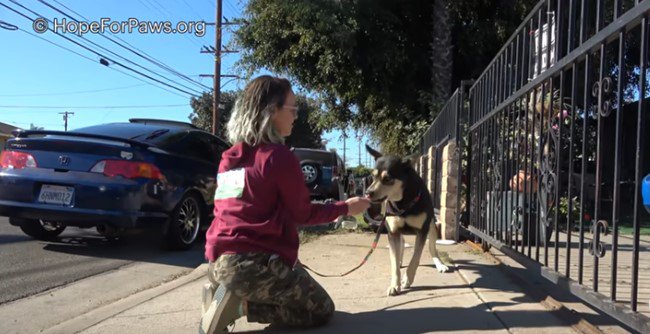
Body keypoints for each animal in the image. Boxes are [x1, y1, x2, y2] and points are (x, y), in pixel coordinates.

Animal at [362, 145, 448, 296]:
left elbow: (415, 258)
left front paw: (407, 279)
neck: (402, 202)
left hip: (432, 227)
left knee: (432, 248)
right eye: (373, 176)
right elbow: (394, 263)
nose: (367, 193)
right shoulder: (393, 232)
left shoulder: (422, 231)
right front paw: (394, 285)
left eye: (388, 178)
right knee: (400, 245)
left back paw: (440, 264)